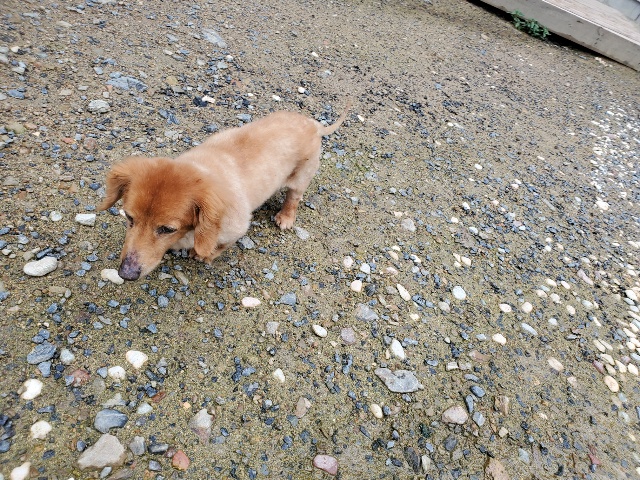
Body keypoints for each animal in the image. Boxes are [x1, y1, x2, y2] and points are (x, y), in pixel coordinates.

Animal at [99, 103, 350, 280]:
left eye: (167, 229)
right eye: (129, 217)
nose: (126, 274)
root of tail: (314, 124)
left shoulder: (236, 228)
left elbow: (217, 247)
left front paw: (203, 255)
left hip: (300, 177)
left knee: (294, 198)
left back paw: (286, 217)